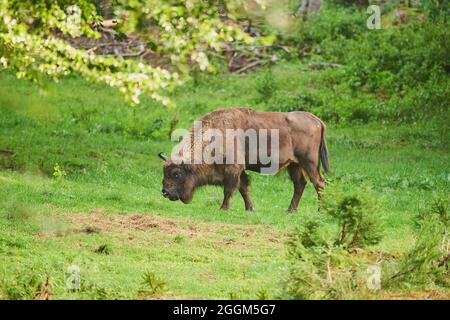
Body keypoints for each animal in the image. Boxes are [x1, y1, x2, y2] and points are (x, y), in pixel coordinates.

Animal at [160, 108, 328, 212]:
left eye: (176, 173)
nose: (165, 192)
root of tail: (317, 120)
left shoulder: (233, 168)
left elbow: (230, 189)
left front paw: (223, 208)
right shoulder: (239, 171)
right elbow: (243, 188)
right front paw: (250, 208)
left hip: (309, 162)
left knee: (318, 182)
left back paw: (321, 210)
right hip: (294, 164)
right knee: (300, 184)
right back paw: (290, 210)